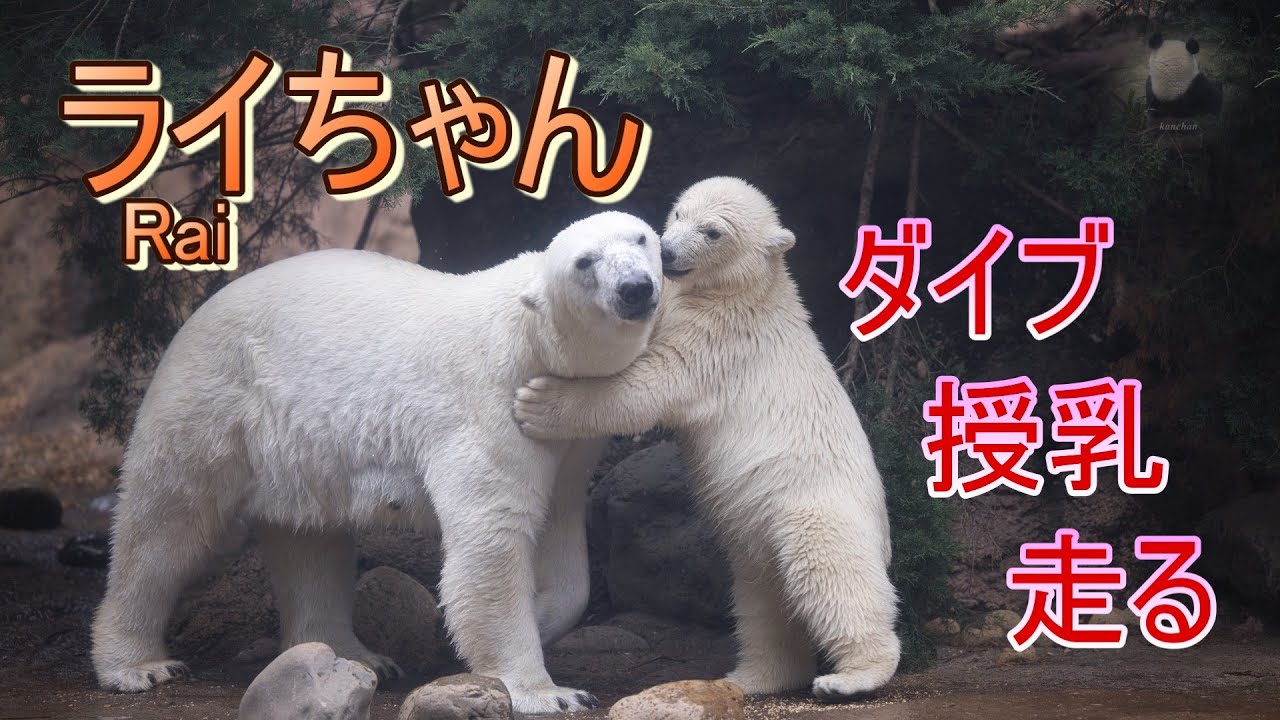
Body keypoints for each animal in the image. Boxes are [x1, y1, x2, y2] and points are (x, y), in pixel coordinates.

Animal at [92, 211, 663, 714]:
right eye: (585, 261)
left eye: (640, 237)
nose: (635, 288)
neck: (532, 339)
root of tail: (199, 312)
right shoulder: (487, 405)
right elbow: (493, 538)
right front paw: (548, 692)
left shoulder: (568, 437)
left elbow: (561, 535)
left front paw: (536, 620)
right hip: (217, 398)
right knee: (167, 524)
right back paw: (137, 664)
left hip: (300, 449)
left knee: (310, 541)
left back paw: (353, 655)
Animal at [514, 177, 901, 701]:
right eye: (679, 213)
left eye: (713, 231)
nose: (667, 251)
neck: (746, 290)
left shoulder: (720, 340)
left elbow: (650, 386)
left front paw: (537, 403)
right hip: (755, 534)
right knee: (762, 600)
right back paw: (753, 676)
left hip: (815, 506)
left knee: (833, 576)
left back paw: (852, 676)